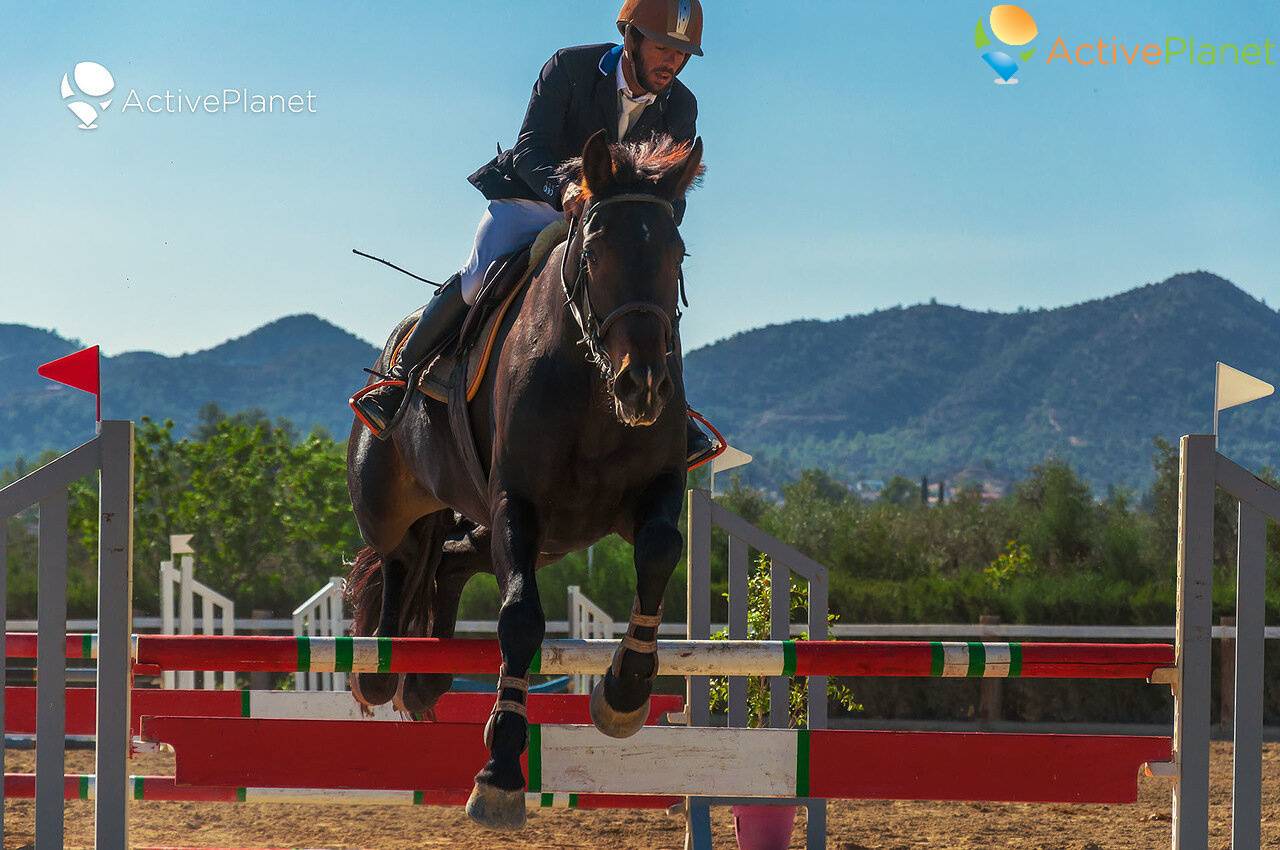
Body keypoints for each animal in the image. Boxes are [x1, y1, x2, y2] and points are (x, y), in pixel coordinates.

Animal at [345, 131, 706, 829]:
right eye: (594, 252)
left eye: (675, 254)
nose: (644, 385)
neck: (593, 383)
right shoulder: (518, 501)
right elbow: (519, 619)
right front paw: (500, 774)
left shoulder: (652, 491)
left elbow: (659, 550)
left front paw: (624, 693)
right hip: (392, 500)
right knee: (397, 559)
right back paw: (381, 664)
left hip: (537, 538)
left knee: (447, 563)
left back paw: (425, 679)